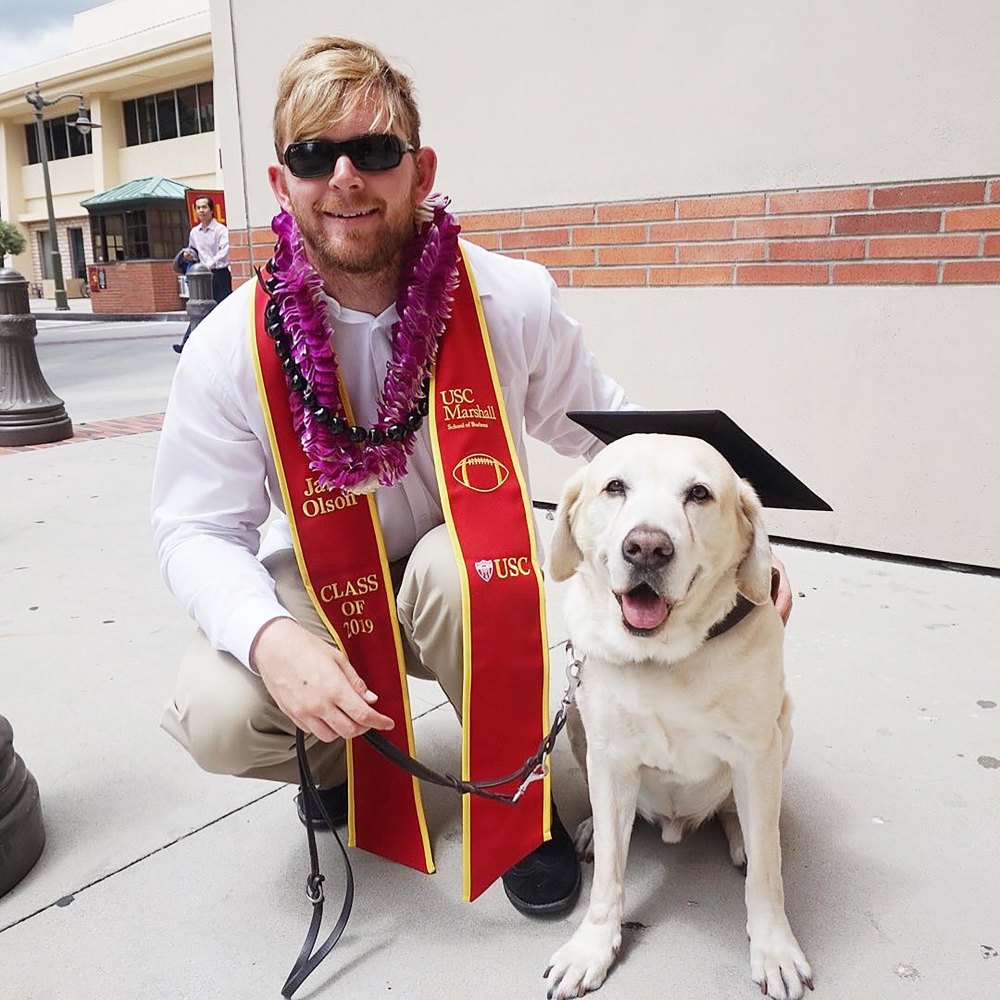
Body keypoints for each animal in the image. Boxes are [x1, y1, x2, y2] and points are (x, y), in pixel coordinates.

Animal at [544, 436, 808, 1000]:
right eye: (615, 487)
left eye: (699, 494)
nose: (647, 548)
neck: (664, 657)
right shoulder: (611, 756)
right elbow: (609, 881)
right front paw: (591, 948)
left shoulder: (756, 751)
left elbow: (768, 878)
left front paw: (774, 948)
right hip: (576, 720)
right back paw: (594, 830)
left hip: (782, 727)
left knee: (748, 821)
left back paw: (745, 835)